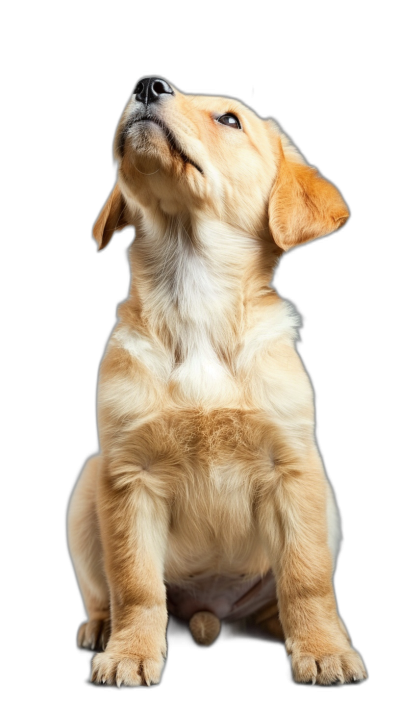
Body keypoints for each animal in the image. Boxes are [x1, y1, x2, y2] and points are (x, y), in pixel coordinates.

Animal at [66, 76, 368, 684]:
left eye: (229, 120)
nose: (147, 84)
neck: (196, 300)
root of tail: (212, 614)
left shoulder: (293, 469)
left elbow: (307, 577)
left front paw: (323, 649)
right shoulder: (128, 474)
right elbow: (135, 582)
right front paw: (131, 652)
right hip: (88, 484)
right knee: (107, 591)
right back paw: (103, 628)